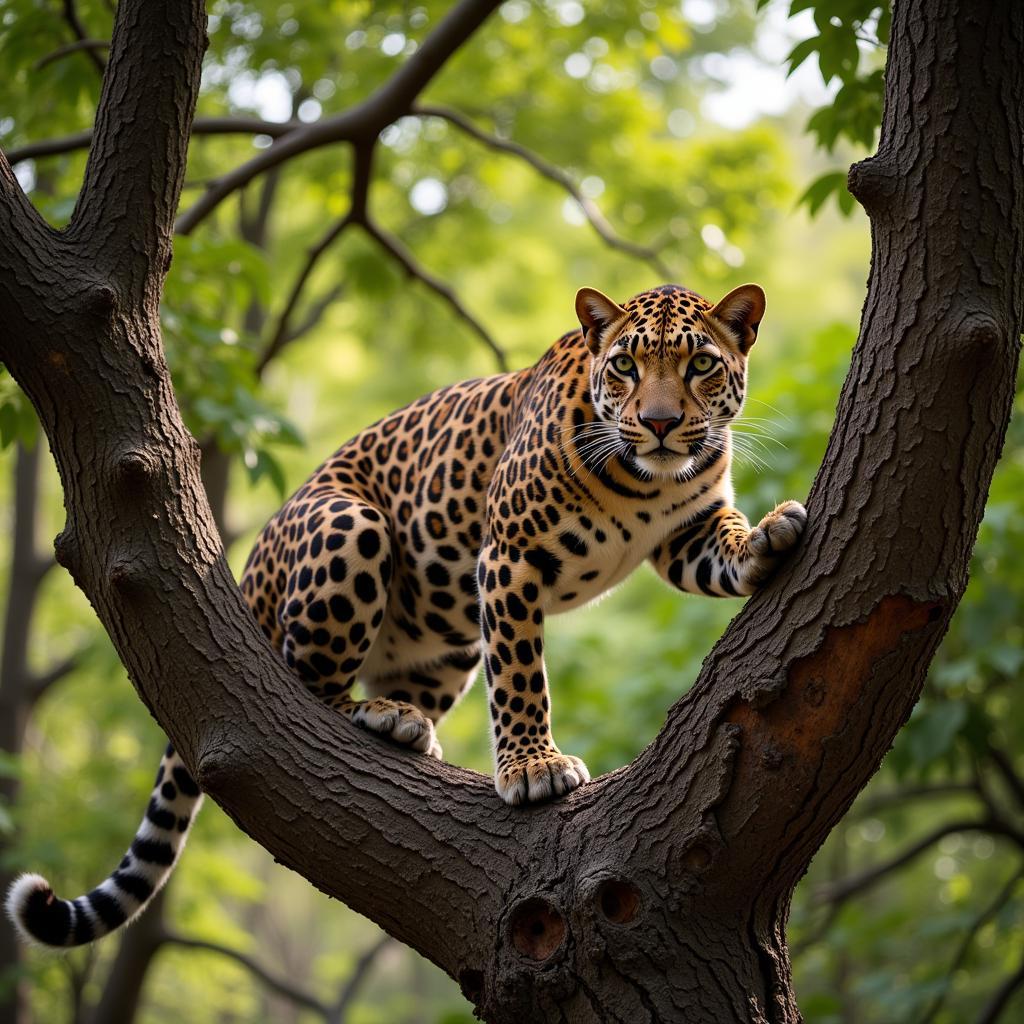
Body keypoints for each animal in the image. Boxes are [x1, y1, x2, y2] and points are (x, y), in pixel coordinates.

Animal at [8, 278, 806, 942]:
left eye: (699, 365)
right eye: (625, 368)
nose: (663, 422)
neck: (647, 484)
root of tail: (249, 564)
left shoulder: (685, 532)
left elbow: (720, 544)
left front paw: (767, 536)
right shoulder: (508, 555)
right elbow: (521, 675)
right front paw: (532, 769)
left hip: (445, 637)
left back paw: (408, 720)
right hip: (352, 528)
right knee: (309, 682)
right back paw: (378, 716)